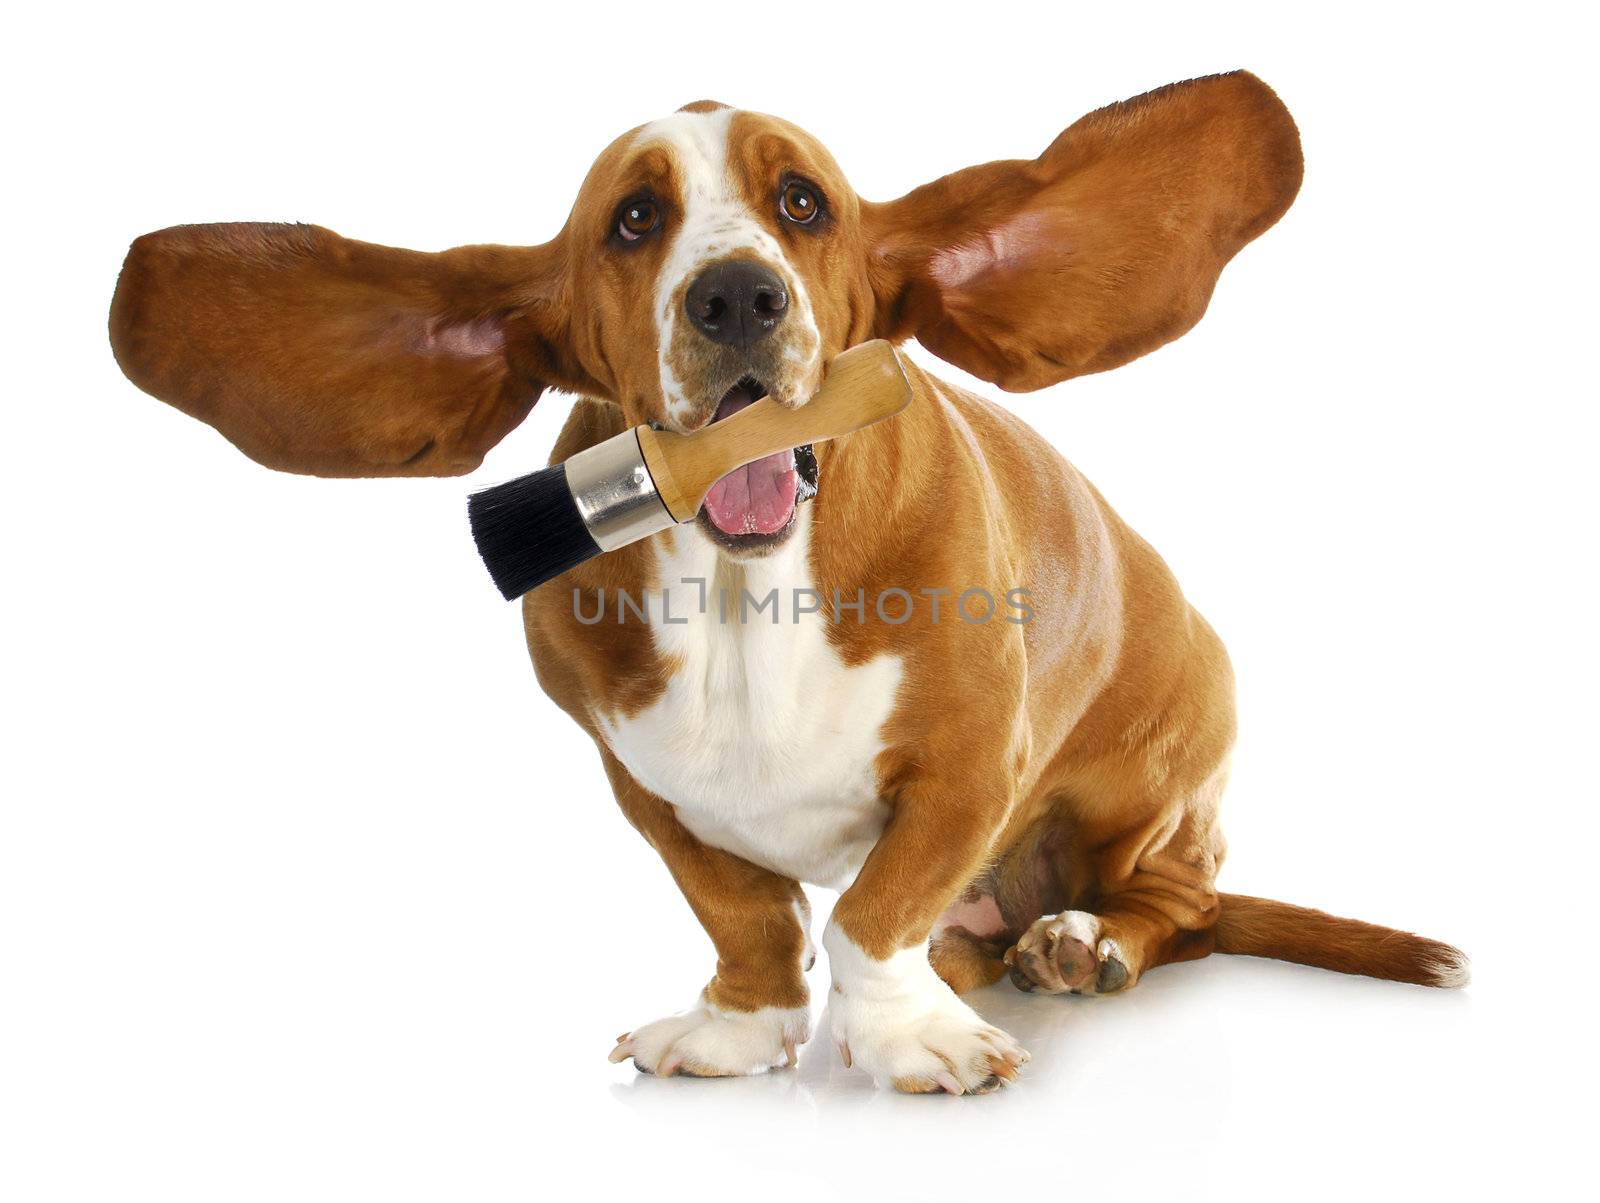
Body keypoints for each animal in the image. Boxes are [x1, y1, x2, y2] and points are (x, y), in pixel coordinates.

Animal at [109, 70, 1465, 1094]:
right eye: (633, 221)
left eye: (803, 203)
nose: (735, 295)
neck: (739, 601)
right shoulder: (646, 790)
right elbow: (747, 916)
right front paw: (739, 1030)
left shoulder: (969, 771)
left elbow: (872, 914)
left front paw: (909, 1039)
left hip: (1154, 785)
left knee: (1179, 906)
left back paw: (1084, 942)